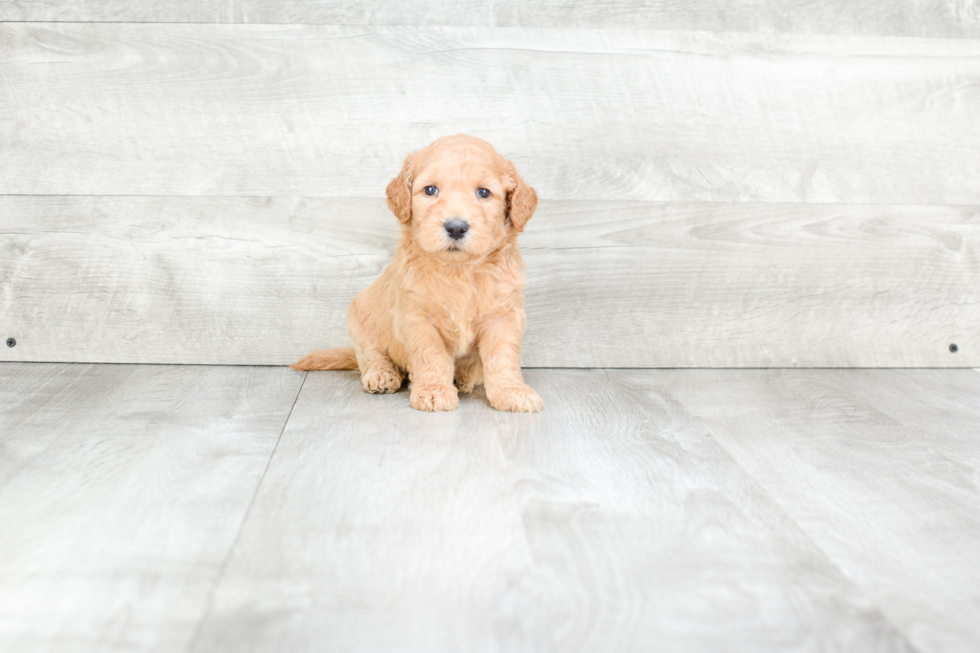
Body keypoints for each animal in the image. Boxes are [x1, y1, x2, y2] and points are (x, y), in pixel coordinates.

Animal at [294, 135, 548, 412]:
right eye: (430, 190)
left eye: (483, 192)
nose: (456, 227)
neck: (458, 271)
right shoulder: (417, 317)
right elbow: (431, 355)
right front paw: (434, 391)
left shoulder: (503, 316)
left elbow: (503, 358)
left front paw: (512, 392)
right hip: (360, 320)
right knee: (372, 355)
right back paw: (382, 375)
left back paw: (462, 379)